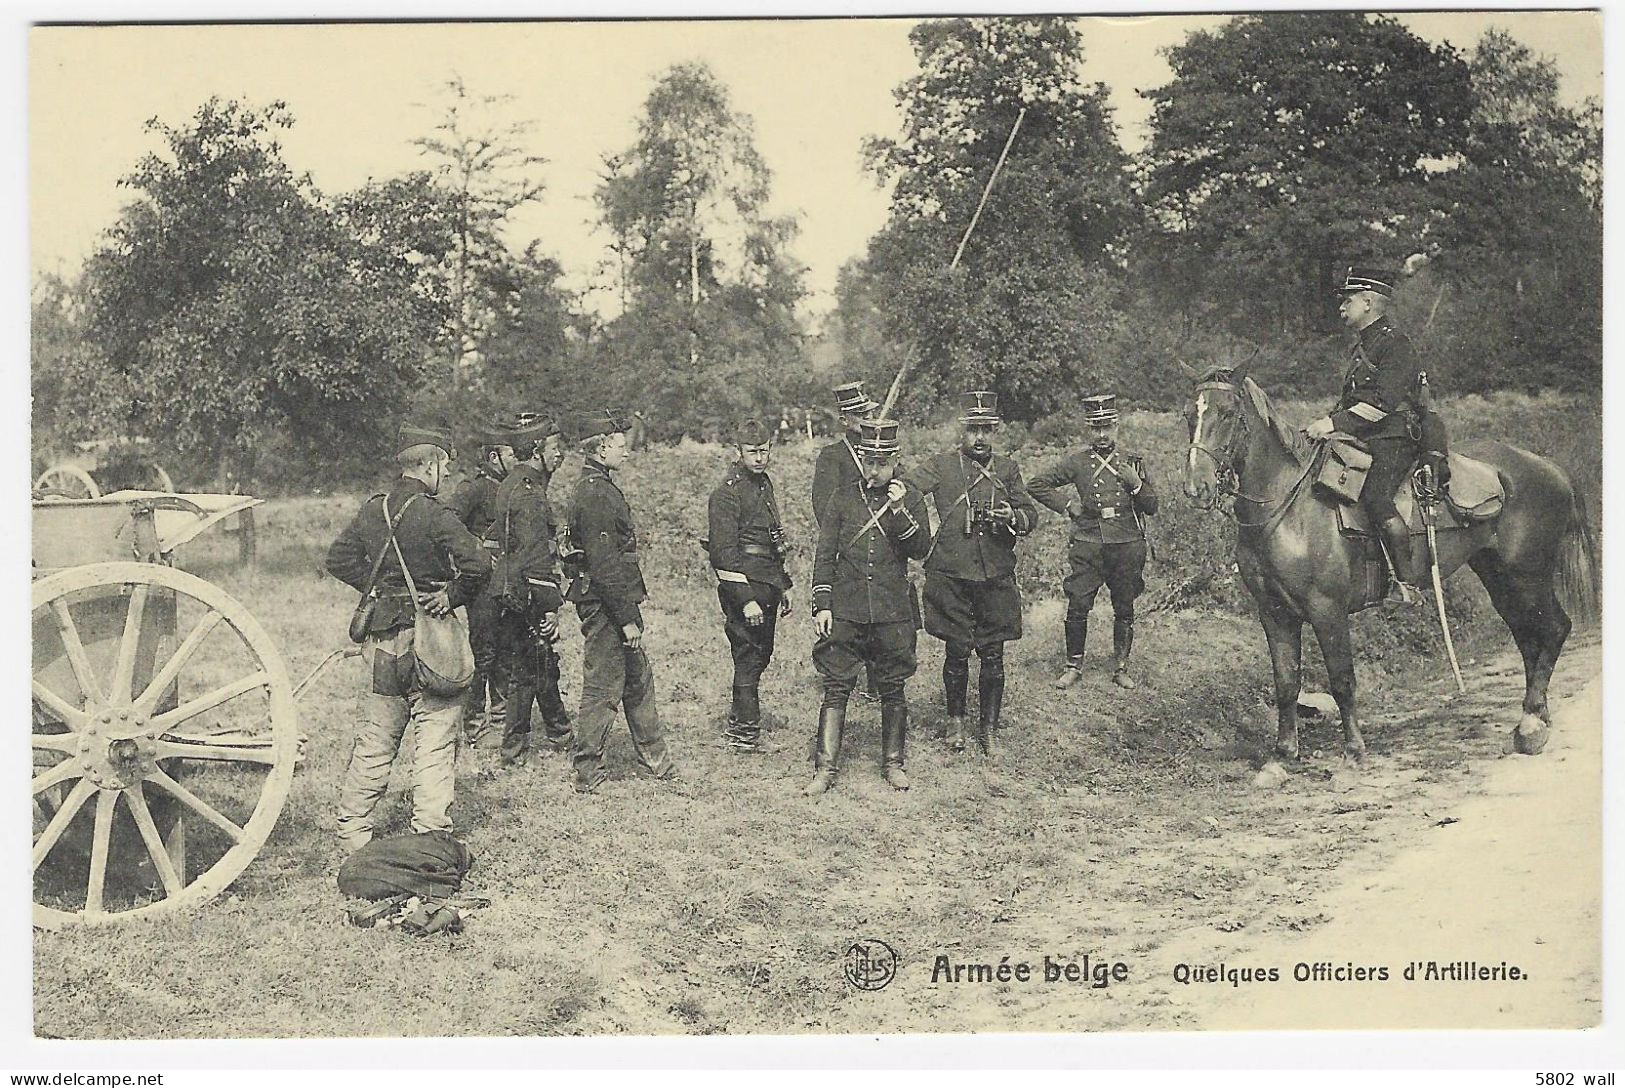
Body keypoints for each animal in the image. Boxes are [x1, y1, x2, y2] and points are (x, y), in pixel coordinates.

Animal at [1183, 362, 1599, 763]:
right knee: (1529, 638)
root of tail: (1549, 467)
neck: (1288, 507)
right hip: (1499, 576)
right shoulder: (1274, 613)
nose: (1195, 488)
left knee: (1555, 630)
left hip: (1528, 575)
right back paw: (1534, 720)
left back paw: (1531, 725)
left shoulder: (1327, 610)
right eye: (1190, 414)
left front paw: (1354, 751)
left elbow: (1342, 679)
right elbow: (1286, 682)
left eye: (1227, 413)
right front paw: (1283, 754)